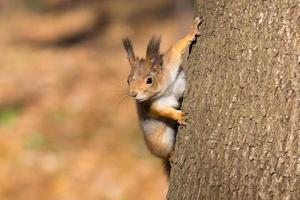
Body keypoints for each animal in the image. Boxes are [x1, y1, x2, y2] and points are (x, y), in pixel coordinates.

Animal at [122, 16, 204, 177]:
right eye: (128, 80)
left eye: (149, 80)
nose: (134, 94)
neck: (164, 88)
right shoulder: (151, 105)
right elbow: (161, 111)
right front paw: (178, 115)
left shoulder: (170, 64)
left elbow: (176, 48)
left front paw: (192, 30)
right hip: (161, 143)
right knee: (166, 154)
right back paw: (172, 156)